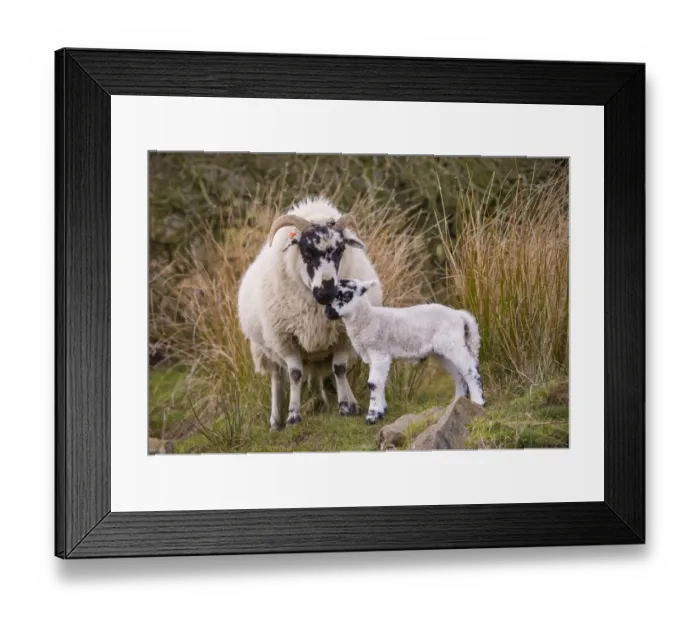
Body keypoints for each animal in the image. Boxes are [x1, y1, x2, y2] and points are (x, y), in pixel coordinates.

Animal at [237, 197, 383, 430]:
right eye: (307, 252)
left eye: (340, 250)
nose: (327, 291)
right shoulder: (286, 339)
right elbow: (295, 374)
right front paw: (293, 416)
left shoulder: (342, 336)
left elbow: (339, 369)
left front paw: (345, 407)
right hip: (267, 350)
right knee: (277, 379)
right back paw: (275, 422)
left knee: (321, 376)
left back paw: (338, 402)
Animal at [324, 278, 485, 424]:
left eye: (347, 295)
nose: (328, 312)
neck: (369, 319)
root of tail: (459, 315)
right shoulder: (372, 356)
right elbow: (380, 382)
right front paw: (382, 410)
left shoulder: (379, 352)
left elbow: (373, 383)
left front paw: (373, 416)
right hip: (442, 351)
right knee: (458, 374)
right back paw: (457, 401)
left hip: (453, 343)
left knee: (470, 369)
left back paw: (478, 402)